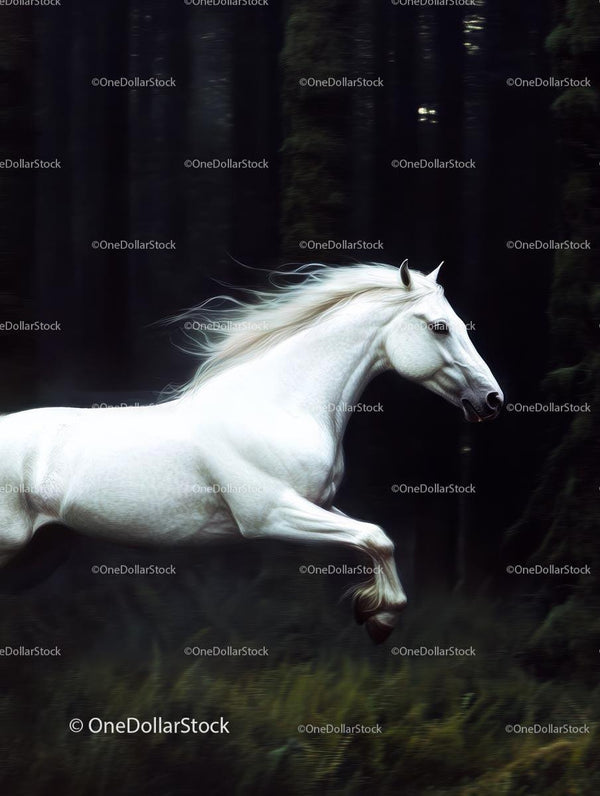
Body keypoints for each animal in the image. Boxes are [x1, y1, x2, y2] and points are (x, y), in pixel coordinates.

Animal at [0, 261, 503, 642]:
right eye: (440, 327)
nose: (492, 400)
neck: (277, 405)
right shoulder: (271, 515)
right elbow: (377, 537)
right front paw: (378, 616)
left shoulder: (320, 505)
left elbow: (374, 539)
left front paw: (373, 614)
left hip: (41, 553)